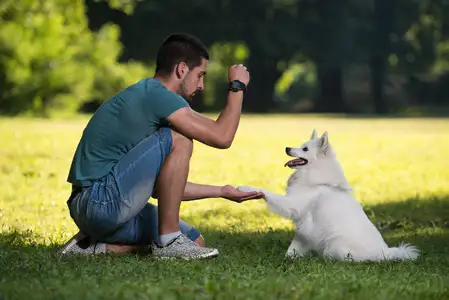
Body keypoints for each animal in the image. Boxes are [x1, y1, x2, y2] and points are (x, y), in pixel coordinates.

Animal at [236, 130, 418, 262]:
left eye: (305, 149)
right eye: (300, 146)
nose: (287, 148)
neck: (316, 179)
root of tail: (385, 252)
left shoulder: (293, 205)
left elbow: (267, 193)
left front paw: (246, 188)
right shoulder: (304, 229)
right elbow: (294, 247)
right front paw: (289, 258)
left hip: (335, 244)